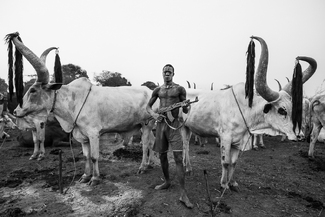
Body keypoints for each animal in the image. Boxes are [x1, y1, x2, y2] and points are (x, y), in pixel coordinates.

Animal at [5, 32, 157, 185]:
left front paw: (95, 178)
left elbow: (94, 156)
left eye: (33, 90)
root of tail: (150, 91)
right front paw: (85, 176)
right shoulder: (83, 137)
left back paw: (143, 167)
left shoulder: (94, 133)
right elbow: (86, 156)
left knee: (146, 144)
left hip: (147, 125)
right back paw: (149, 164)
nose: (16, 111)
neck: (73, 102)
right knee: (151, 142)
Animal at [181, 36, 316, 190]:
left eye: (294, 107)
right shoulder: (225, 138)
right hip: (182, 127)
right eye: (282, 110)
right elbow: (225, 162)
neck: (245, 110)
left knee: (186, 145)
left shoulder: (238, 140)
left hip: (188, 127)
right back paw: (187, 168)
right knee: (185, 145)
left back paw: (187, 166)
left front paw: (232, 182)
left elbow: (233, 163)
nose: (300, 135)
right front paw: (223, 184)